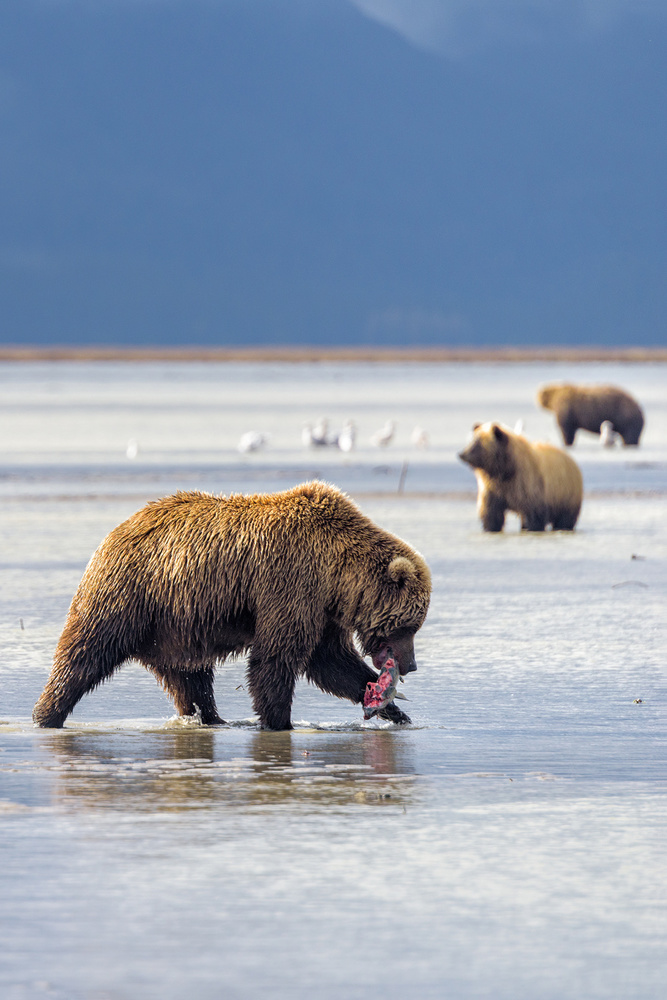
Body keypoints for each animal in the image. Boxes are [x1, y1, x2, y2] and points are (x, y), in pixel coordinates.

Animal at [31, 480, 430, 732]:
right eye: (409, 625)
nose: (410, 666)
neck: (337, 574)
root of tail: (116, 531)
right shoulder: (290, 584)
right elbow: (276, 659)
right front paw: (279, 721)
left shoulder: (322, 610)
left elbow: (332, 663)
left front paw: (394, 710)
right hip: (130, 594)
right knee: (84, 653)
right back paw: (45, 714)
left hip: (176, 627)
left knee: (189, 679)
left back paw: (210, 718)